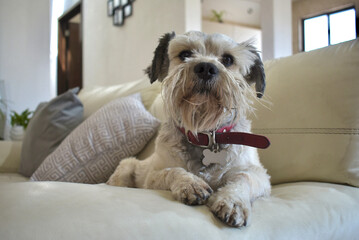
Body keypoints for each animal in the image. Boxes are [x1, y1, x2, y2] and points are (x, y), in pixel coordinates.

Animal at [108, 31, 272, 227]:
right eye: (185, 54)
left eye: (227, 59)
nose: (206, 68)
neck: (205, 134)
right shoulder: (152, 176)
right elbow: (173, 171)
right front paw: (191, 184)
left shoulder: (259, 175)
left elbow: (243, 178)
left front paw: (233, 201)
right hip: (127, 166)